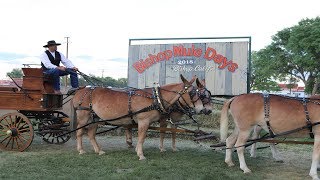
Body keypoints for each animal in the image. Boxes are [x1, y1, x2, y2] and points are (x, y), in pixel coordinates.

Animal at [71, 75, 204, 160]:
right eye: (192, 93)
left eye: (199, 93)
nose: (202, 109)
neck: (155, 98)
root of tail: (80, 90)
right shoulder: (143, 121)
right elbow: (141, 138)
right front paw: (140, 155)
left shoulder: (147, 122)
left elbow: (142, 138)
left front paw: (137, 151)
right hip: (84, 117)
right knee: (79, 132)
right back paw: (81, 150)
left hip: (95, 118)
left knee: (91, 134)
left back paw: (99, 151)